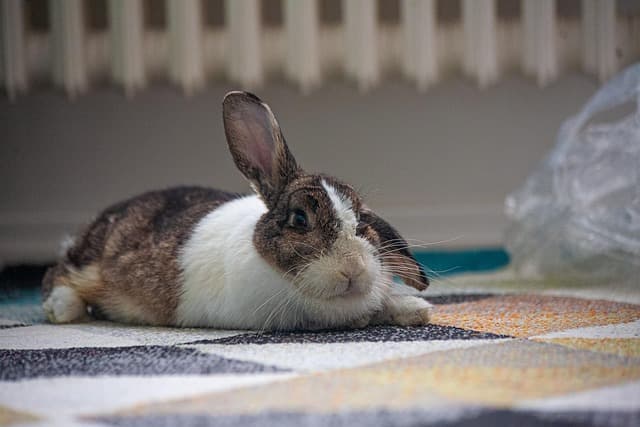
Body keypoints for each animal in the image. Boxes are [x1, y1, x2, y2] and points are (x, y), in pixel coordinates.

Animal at [42, 91, 432, 331]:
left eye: (361, 220)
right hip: (90, 263)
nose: (353, 271)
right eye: (299, 219)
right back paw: (61, 309)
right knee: (58, 273)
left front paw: (416, 309)